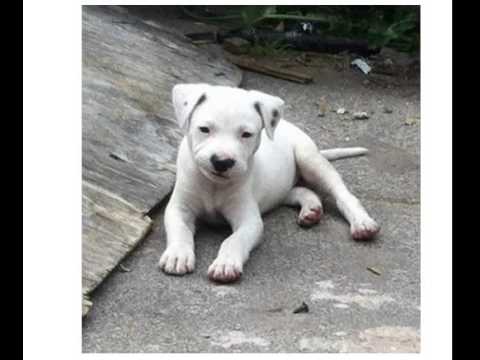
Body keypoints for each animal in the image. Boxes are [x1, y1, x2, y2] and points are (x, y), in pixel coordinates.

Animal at [159, 83, 380, 282]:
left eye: (246, 134)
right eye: (204, 129)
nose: (222, 162)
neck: (214, 185)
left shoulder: (249, 220)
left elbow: (233, 240)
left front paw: (226, 263)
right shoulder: (179, 208)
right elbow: (180, 230)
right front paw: (178, 254)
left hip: (309, 159)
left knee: (342, 194)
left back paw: (361, 223)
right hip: (281, 186)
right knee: (300, 191)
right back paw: (311, 209)